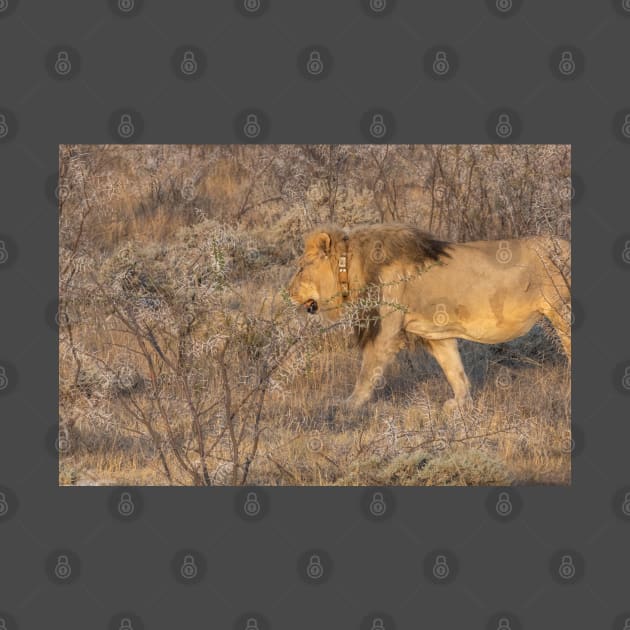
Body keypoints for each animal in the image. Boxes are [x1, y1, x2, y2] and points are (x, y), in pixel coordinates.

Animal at [288, 225, 572, 412]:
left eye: (301, 268)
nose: (288, 293)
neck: (352, 269)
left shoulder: (385, 331)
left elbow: (366, 372)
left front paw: (348, 405)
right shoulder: (437, 334)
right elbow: (454, 370)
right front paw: (460, 404)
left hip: (562, 312)